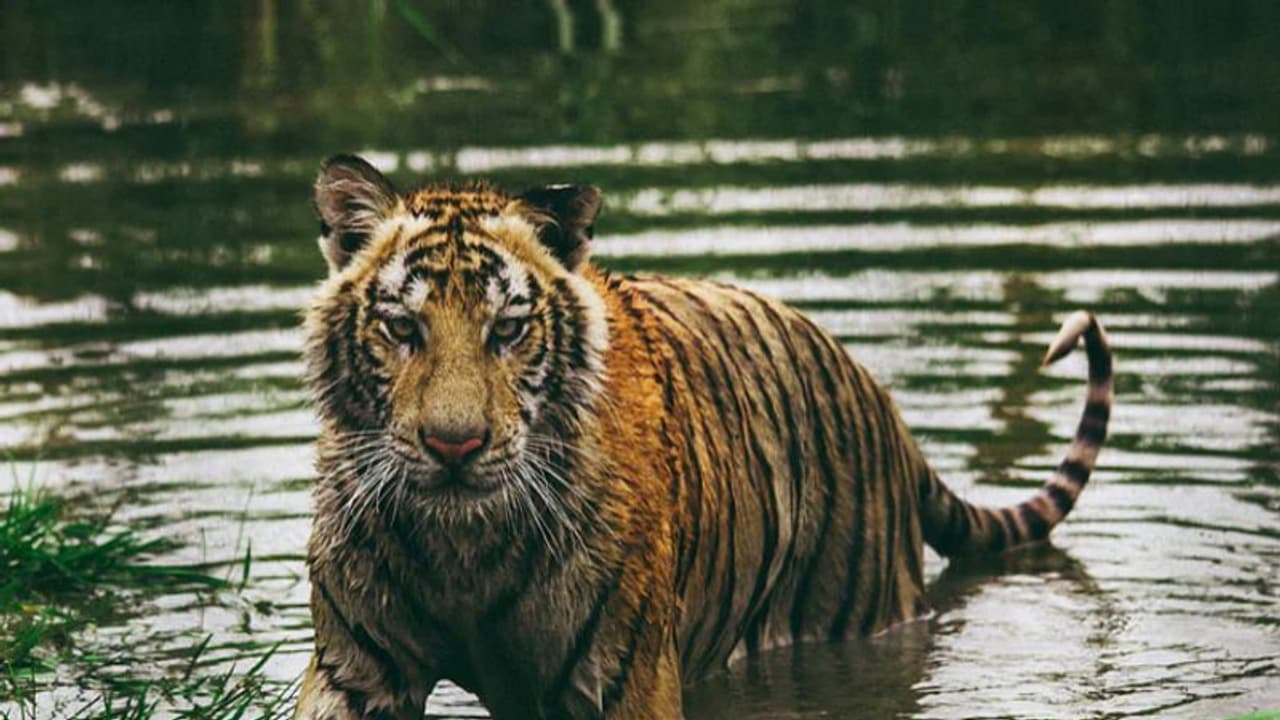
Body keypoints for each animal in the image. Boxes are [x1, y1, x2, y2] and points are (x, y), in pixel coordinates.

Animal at [296, 154, 1113, 720]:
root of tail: (883, 402)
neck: (462, 551)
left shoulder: (624, 678)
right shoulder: (354, 673)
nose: (453, 446)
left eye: (508, 330)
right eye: (403, 328)